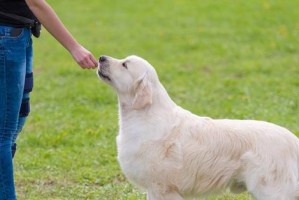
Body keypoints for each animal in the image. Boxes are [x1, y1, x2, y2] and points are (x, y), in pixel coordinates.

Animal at [98, 55, 299, 200]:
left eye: (124, 65)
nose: (101, 57)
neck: (144, 115)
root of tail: (293, 140)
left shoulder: (162, 188)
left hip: (272, 190)